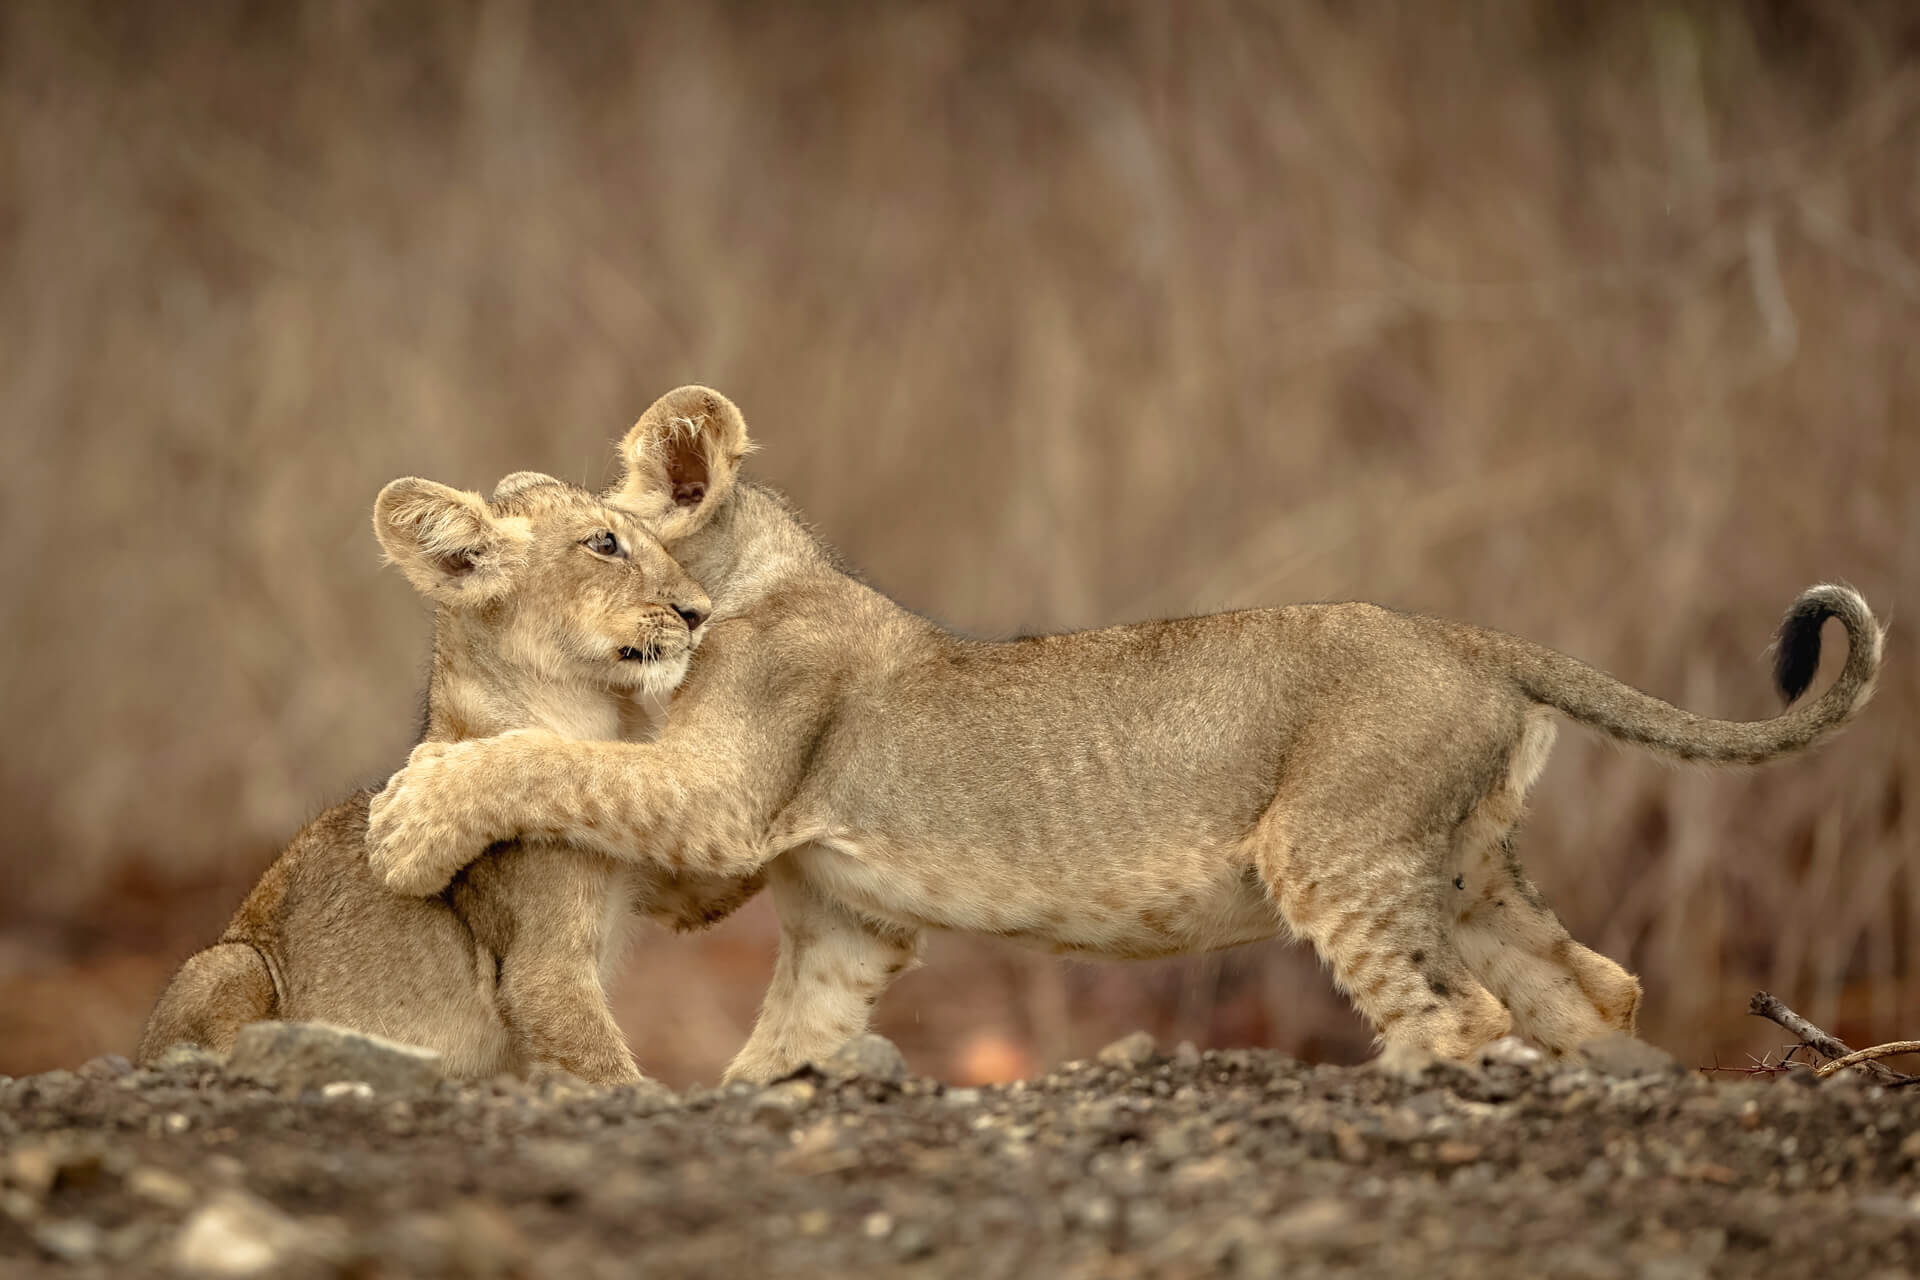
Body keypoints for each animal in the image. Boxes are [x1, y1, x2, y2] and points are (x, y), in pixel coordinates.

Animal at [136, 471, 755, 1084]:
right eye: (604, 544)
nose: (700, 612)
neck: (599, 720)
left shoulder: (671, 878)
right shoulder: (541, 971)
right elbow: (603, 1069)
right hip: (227, 964)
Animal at [365, 387, 1883, 1081]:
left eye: (604, 530)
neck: (755, 574)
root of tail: (1472, 639)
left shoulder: (719, 796)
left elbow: (550, 757)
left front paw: (409, 815)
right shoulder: (832, 902)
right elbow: (792, 1020)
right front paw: (764, 1090)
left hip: (1337, 847)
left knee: (1458, 1012)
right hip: (1459, 864)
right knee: (1589, 983)